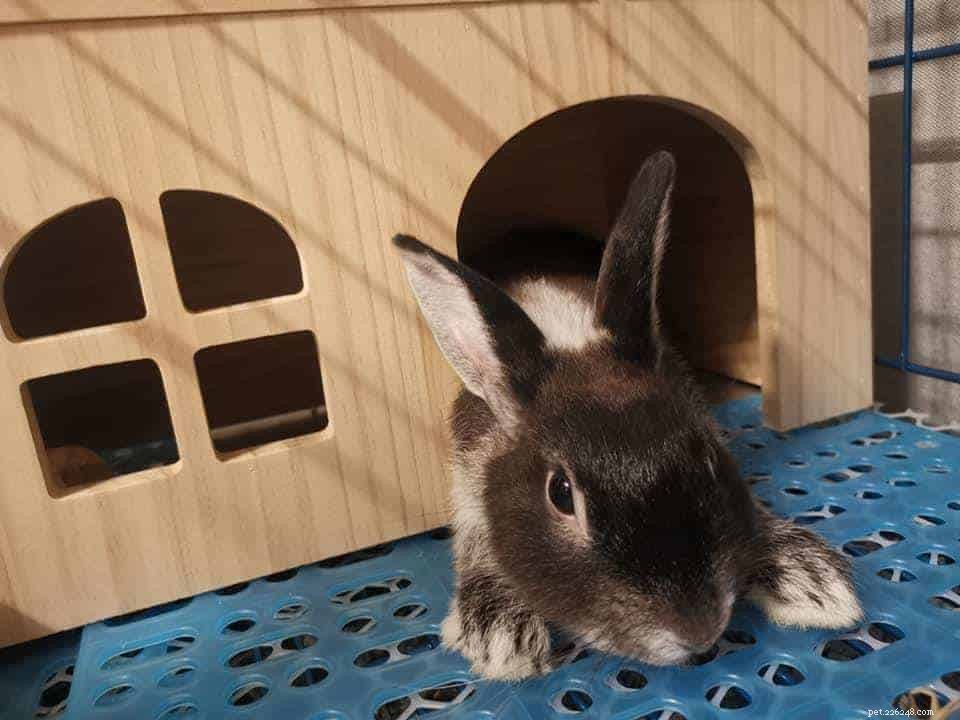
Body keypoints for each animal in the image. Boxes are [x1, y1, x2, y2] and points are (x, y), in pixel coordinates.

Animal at [393, 151, 862, 681]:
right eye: (560, 494)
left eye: (706, 458)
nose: (698, 632)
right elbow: (475, 540)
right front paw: (500, 634)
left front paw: (807, 575)